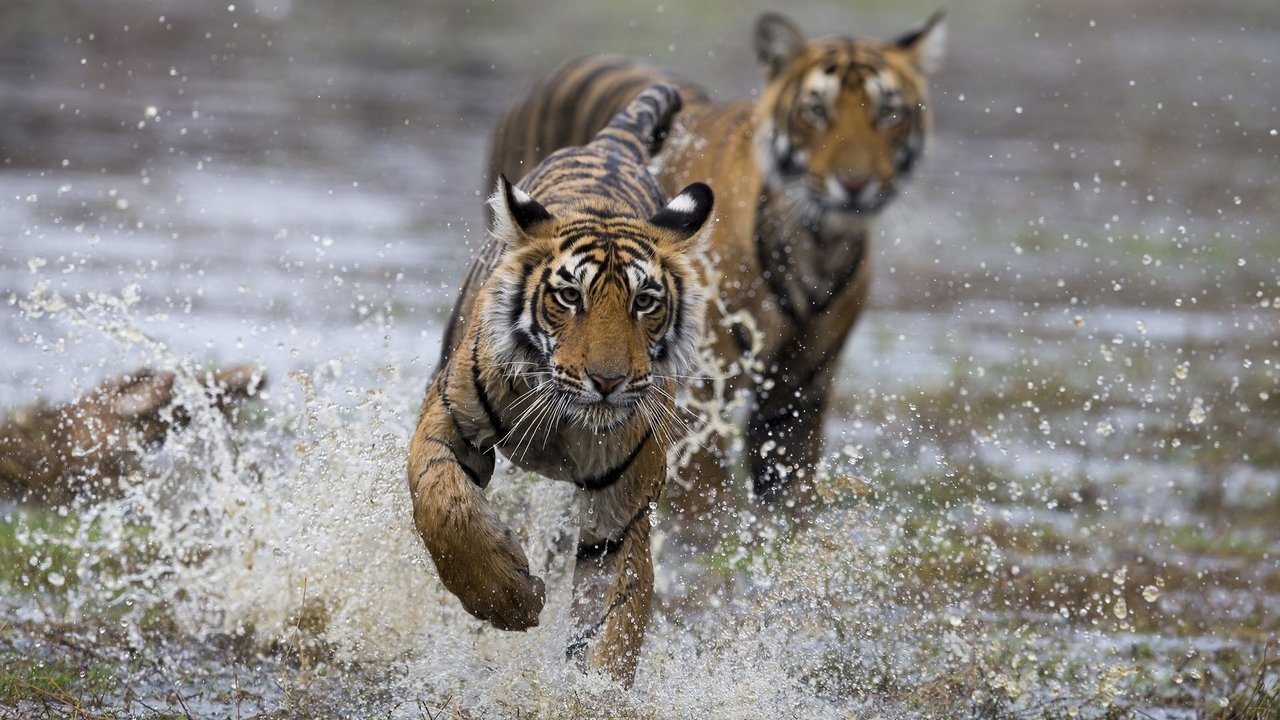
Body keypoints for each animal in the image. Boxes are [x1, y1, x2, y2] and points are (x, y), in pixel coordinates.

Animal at [407, 84, 714, 686]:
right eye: (571, 296)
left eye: (645, 301)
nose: (607, 380)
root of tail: (611, 145)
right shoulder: (448, 422)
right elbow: (445, 506)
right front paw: (509, 600)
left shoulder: (619, 511)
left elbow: (619, 613)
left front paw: (594, 688)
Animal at [487, 11, 945, 509]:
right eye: (816, 111)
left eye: (888, 113)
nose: (855, 183)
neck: (817, 242)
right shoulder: (705, 386)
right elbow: (704, 497)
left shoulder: (801, 392)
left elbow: (790, 500)